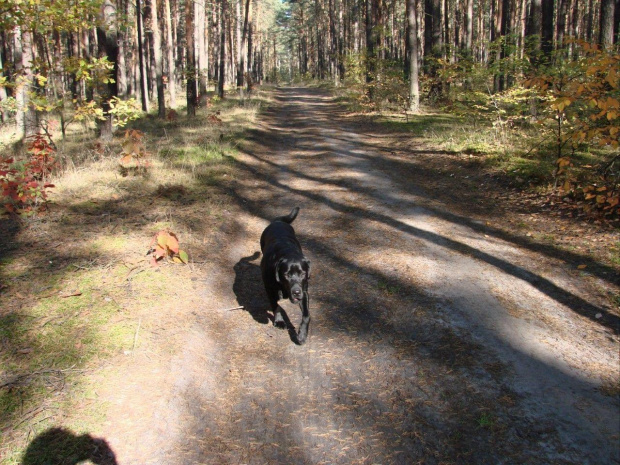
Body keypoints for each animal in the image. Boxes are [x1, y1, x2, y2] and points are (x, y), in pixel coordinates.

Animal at [260, 207, 312, 344]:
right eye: (286, 274)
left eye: (302, 273)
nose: (296, 292)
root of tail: (278, 222)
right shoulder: (270, 289)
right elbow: (275, 305)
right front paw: (279, 321)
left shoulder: (304, 291)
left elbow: (306, 315)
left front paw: (302, 335)